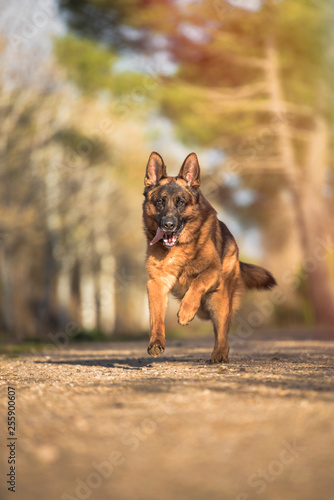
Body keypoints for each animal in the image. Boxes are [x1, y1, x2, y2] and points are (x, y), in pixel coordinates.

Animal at [144, 152, 276, 364]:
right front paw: (156, 341)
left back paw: (219, 354)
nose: (168, 225)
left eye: (181, 202)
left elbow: (198, 282)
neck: (179, 248)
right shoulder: (156, 283)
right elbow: (156, 317)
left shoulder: (213, 270)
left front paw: (186, 311)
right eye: (160, 202)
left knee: (222, 333)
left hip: (219, 301)